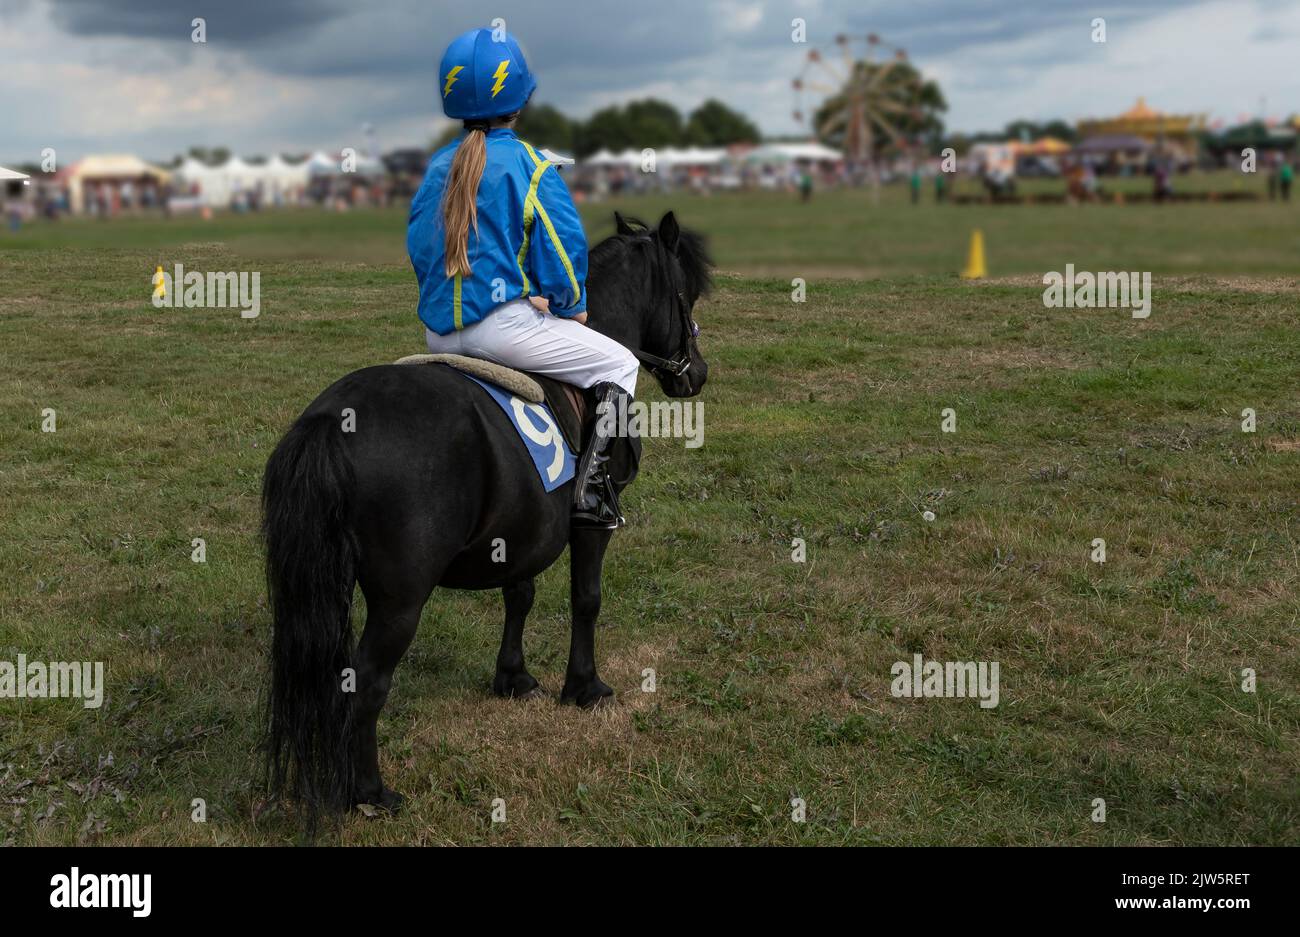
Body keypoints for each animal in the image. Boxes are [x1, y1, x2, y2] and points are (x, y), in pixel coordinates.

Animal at [261, 210, 712, 821]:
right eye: (687, 294)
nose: (697, 374)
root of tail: (333, 420)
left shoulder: (520, 529)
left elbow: (519, 594)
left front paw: (513, 676)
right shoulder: (588, 528)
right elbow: (586, 600)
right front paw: (585, 687)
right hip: (400, 601)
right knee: (368, 681)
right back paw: (370, 792)